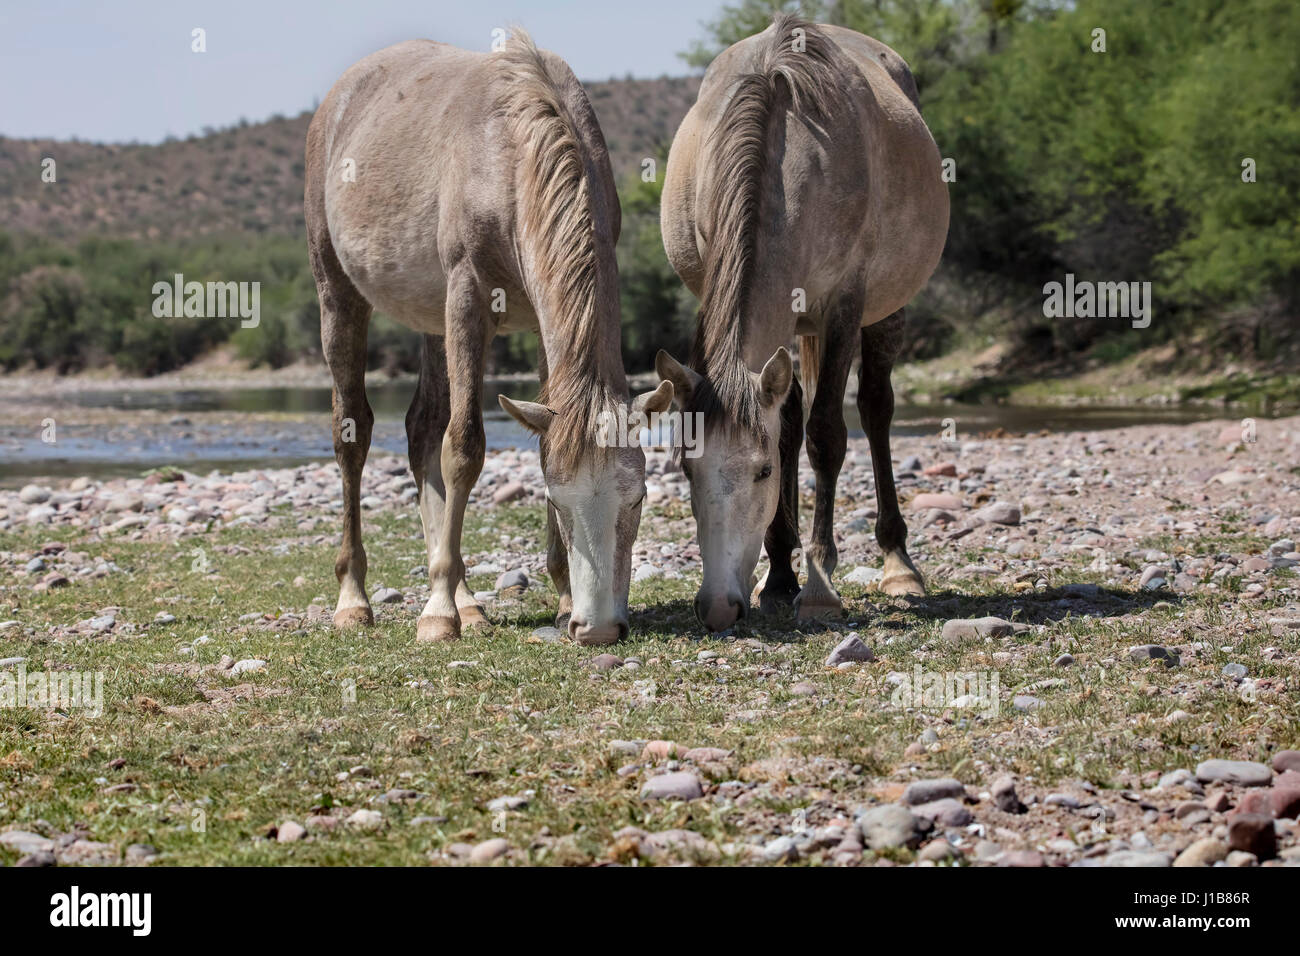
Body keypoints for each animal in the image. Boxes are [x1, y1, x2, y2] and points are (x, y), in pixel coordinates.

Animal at [304, 31, 670, 642]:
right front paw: (436, 613)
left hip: (431, 319)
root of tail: (336, 100)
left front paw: (561, 597)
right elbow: (465, 446)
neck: (511, 158)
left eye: (638, 499)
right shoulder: (467, 298)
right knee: (352, 434)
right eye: (558, 501)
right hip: (338, 292)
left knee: (420, 430)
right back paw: (355, 600)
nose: (597, 629)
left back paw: (469, 602)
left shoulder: (543, 330)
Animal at [660, 14, 946, 632]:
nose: (718, 607)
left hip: (884, 313)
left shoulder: (843, 305)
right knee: (792, 413)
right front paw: (780, 577)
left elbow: (827, 436)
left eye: (762, 473)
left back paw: (897, 563)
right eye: (688, 471)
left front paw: (818, 586)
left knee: (875, 410)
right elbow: (789, 424)